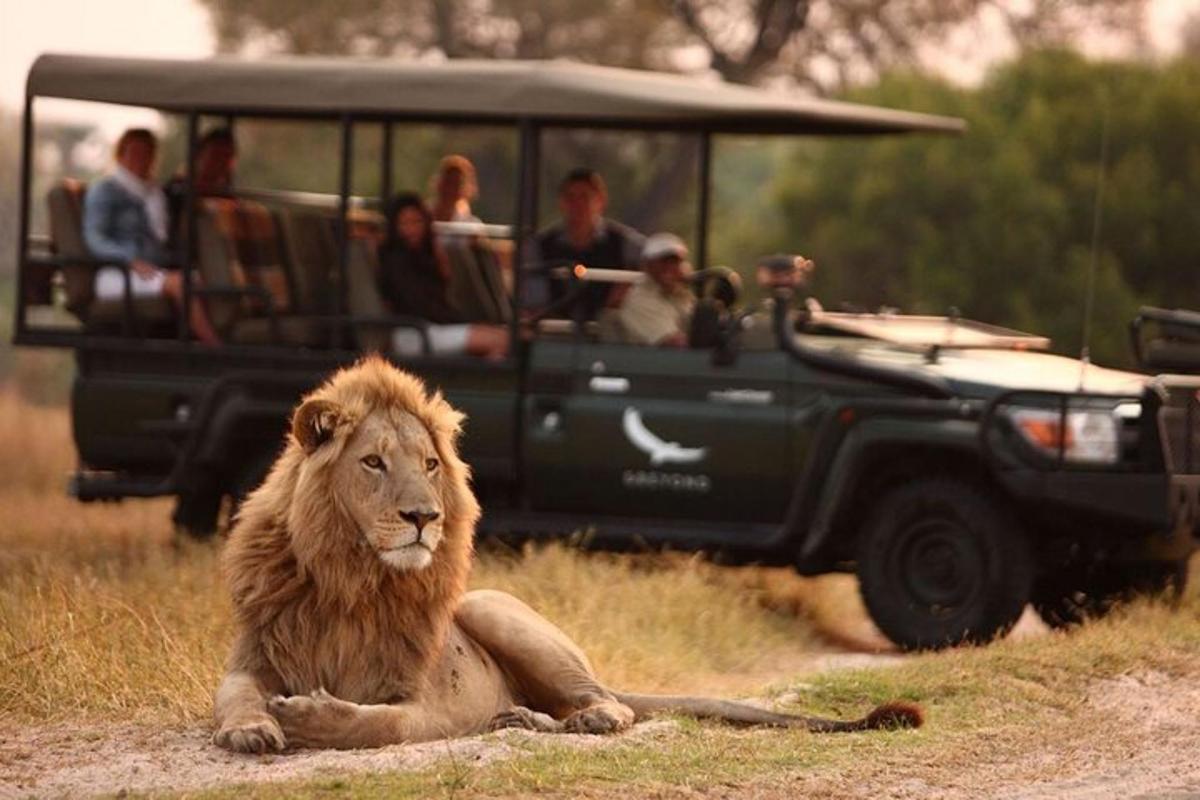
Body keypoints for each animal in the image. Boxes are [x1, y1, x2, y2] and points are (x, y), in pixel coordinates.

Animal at [211, 355, 916, 753]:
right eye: (373, 463)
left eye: (431, 465)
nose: (424, 518)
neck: (352, 579)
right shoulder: (257, 655)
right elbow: (234, 693)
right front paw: (249, 727)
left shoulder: (430, 705)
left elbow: (381, 724)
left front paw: (311, 719)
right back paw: (523, 720)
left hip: (496, 609)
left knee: (612, 704)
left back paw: (567, 722)